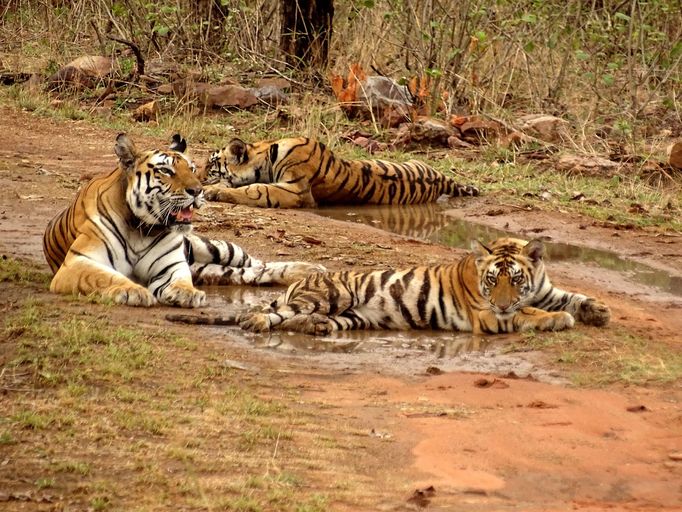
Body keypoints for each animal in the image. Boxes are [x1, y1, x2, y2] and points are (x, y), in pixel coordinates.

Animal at [42, 133, 324, 308]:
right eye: (166, 171)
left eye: (191, 168)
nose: (198, 190)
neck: (141, 228)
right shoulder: (78, 262)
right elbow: (106, 277)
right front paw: (133, 290)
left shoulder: (171, 265)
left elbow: (179, 279)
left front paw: (185, 293)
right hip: (209, 268)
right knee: (247, 274)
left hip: (213, 248)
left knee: (257, 264)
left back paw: (311, 270)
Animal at [202, 138, 478, 208]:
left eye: (212, 163)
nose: (198, 173)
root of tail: (441, 178)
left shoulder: (297, 190)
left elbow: (255, 189)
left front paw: (212, 191)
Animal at [235, 237, 612, 334]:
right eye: (492, 280)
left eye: (516, 279)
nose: (503, 302)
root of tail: (299, 280)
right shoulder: (488, 315)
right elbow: (528, 313)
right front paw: (559, 319)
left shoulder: (546, 291)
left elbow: (572, 297)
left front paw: (598, 310)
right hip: (331, 295)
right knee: (274, 314)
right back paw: (255, 322)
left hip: (353, 317)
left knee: (301, 320)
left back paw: (314, 327)